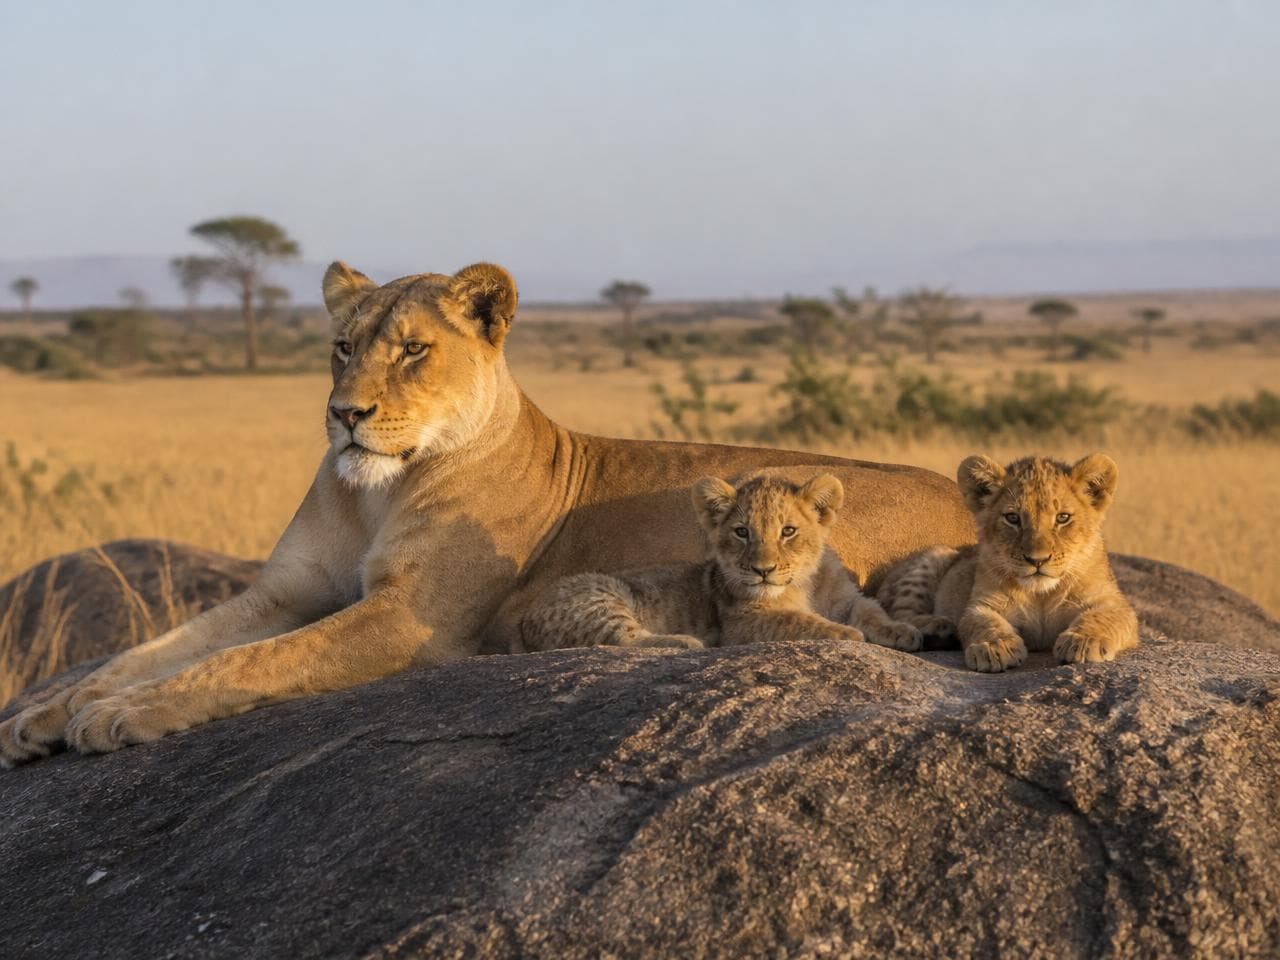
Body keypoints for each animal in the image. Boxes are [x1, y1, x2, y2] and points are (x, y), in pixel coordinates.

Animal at [519, 472, 921, 653]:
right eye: (742, 532)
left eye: (788, 531)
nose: (763, 570)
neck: (804, 582)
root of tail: (522, 621)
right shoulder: (742, 623)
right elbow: (798, 619)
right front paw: (845, 634)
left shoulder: (847, 598)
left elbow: (871, 611)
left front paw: (903, 631)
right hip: (601, 596)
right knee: (621, 639)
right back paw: (689, 641)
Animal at [877, 453, 1139, 672]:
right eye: (1013, 518)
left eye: (1063, 518)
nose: (1037, 559)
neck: (1041, 595)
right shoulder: (982, 604)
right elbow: (984, 623)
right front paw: (995, 649)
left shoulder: (1113, 602)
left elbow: (1103, 617)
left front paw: (1084, 641)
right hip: (936, 555)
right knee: (899, 612)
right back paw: (938, 626)